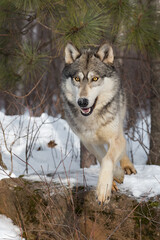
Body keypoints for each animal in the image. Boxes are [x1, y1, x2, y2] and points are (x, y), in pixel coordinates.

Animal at [60, 42, 137, 203]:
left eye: (95, 79)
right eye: (77, 79)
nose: (82, 102)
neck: (93, 119)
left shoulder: (115, 138)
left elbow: (108, 158)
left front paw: (103, 189)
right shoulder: (89, 142)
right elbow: (102, 157)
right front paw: (114, 178)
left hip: (119, 121)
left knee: (123, 141)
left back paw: (127, 166)